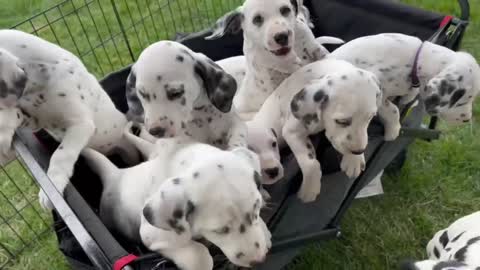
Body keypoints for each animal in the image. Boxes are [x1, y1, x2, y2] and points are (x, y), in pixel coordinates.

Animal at [0, 30, 141, 210]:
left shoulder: (81, 124)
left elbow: (61, 155)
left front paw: (52, 187)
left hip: (129, 151)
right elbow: (14, 115)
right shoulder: (34, 119)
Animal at [80, 137, 272, 270]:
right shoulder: (152, 235)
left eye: (256, 210)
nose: (259, 260)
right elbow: (199, 255)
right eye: (219, 230)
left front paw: (264, 230)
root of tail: (115, 174)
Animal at [246, 59, 380, 202]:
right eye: (341, 121)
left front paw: (354, 160)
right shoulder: (292, 132)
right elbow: (311, 164)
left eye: (371, 117)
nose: (358, 151)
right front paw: (309, 189)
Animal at [330, 33, 480, 141]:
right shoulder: (375, 88)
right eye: (462, 102)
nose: (467, 119)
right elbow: (393, 109)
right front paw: (394, 130)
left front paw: (408, 98)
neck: (416, 62)